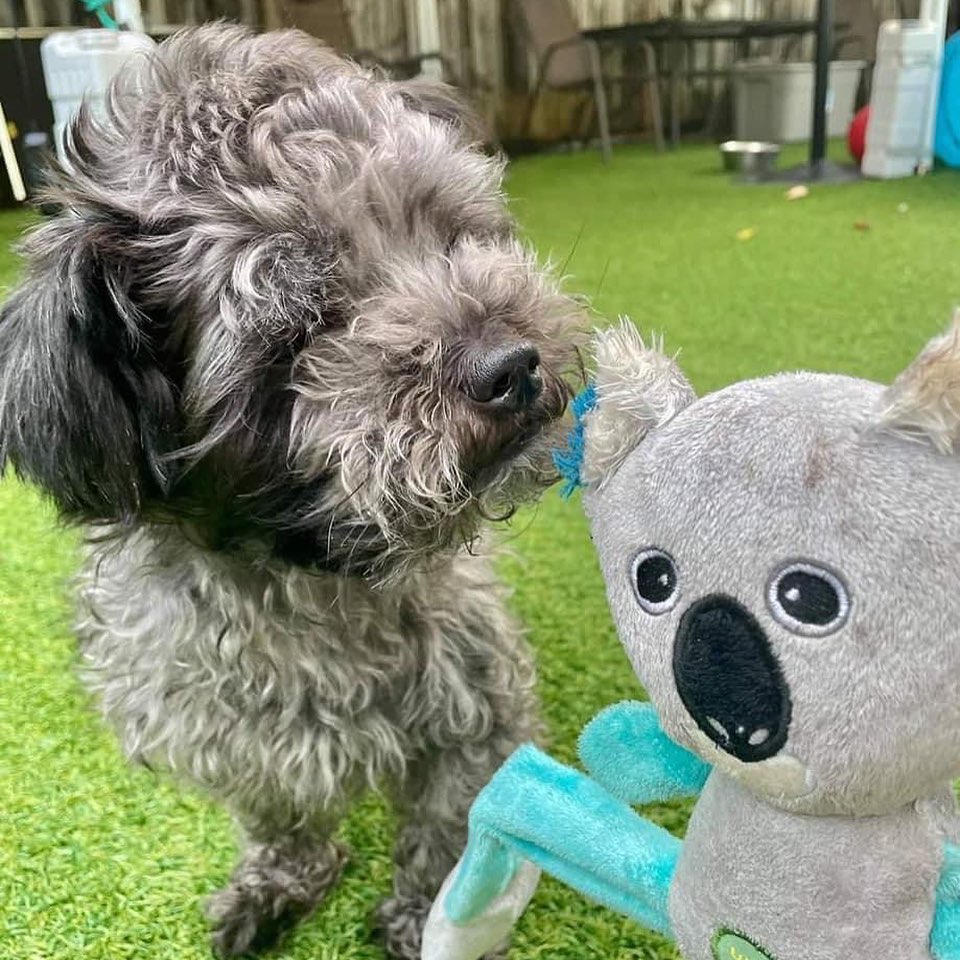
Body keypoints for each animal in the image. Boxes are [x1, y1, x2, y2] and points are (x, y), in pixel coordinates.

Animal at [0, 24, 580, 960]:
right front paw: (281, 880)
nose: (512, 362)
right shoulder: (226, 728)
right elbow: (280, 814)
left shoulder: (476, 704)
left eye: (449, 234)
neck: (308, 574)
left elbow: (448, 829)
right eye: (305, 326)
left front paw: (426, 914)